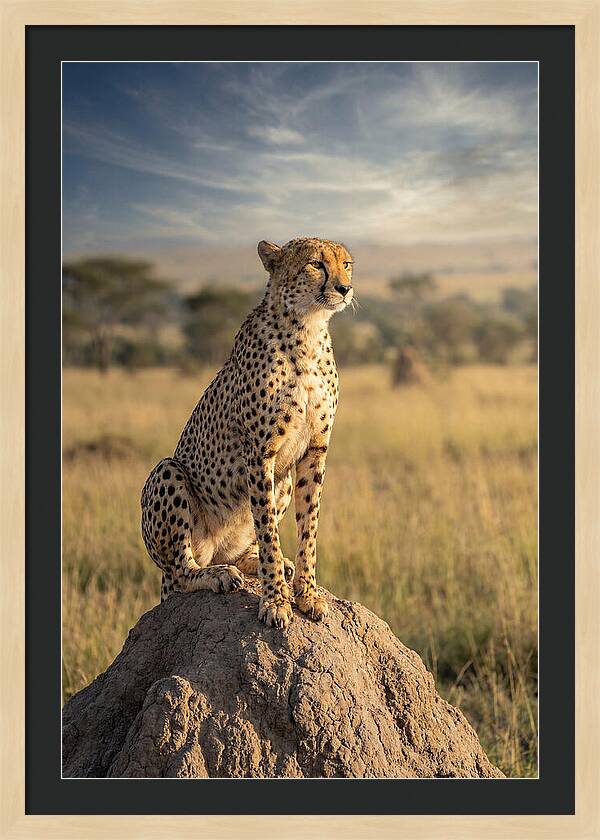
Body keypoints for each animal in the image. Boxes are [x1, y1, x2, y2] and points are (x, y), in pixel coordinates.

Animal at [141, 236, 354, 629]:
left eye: (346, 264)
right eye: (316, 264)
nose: (344, 289)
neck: (308, 328)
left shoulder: (315, 450)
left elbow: (309, 527)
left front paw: (307, 593)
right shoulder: (260, 453)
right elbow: (268, 530)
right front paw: (276, 601)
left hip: (282, 480)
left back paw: (259, 564)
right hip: (167, 473)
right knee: (181, 570)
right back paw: (217, 575)